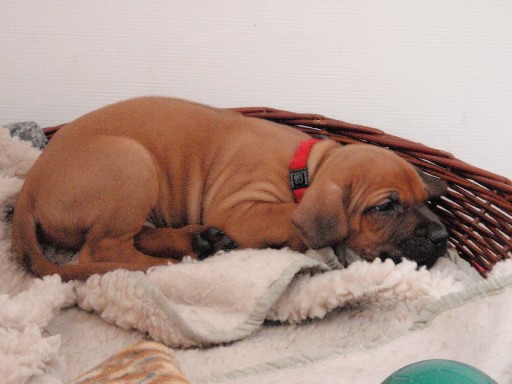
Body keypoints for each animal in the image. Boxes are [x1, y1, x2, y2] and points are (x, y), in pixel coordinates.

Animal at [12, 97, 448, 280]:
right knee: (104, 249)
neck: (303, 171)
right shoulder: (239, 208)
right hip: (133, 164)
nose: (443, 237)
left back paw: (198, 240)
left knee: (138, 237)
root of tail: (28, 189)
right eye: (386, 207)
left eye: (424, 201)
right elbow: (293, 220)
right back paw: (176, 262)